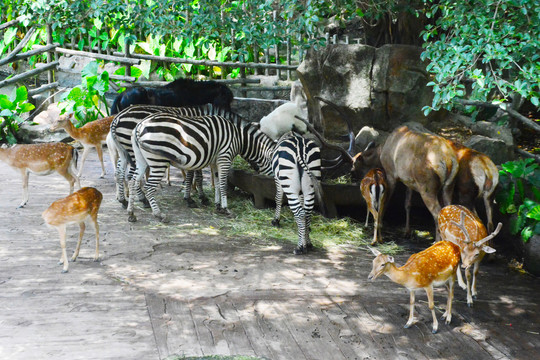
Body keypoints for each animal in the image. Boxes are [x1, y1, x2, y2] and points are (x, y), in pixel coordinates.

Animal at [127, 112, 274, 222]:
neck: (239, 137)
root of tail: (140, 125)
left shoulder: (215, 161)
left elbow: (218, 184)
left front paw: (218, 207)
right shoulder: (224, 157)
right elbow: (223, 184)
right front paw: (226, 209)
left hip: (141, 159)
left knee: (133, 181)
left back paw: (131, 213)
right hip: (158, 161)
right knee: (148, 187)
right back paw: (159, 215)